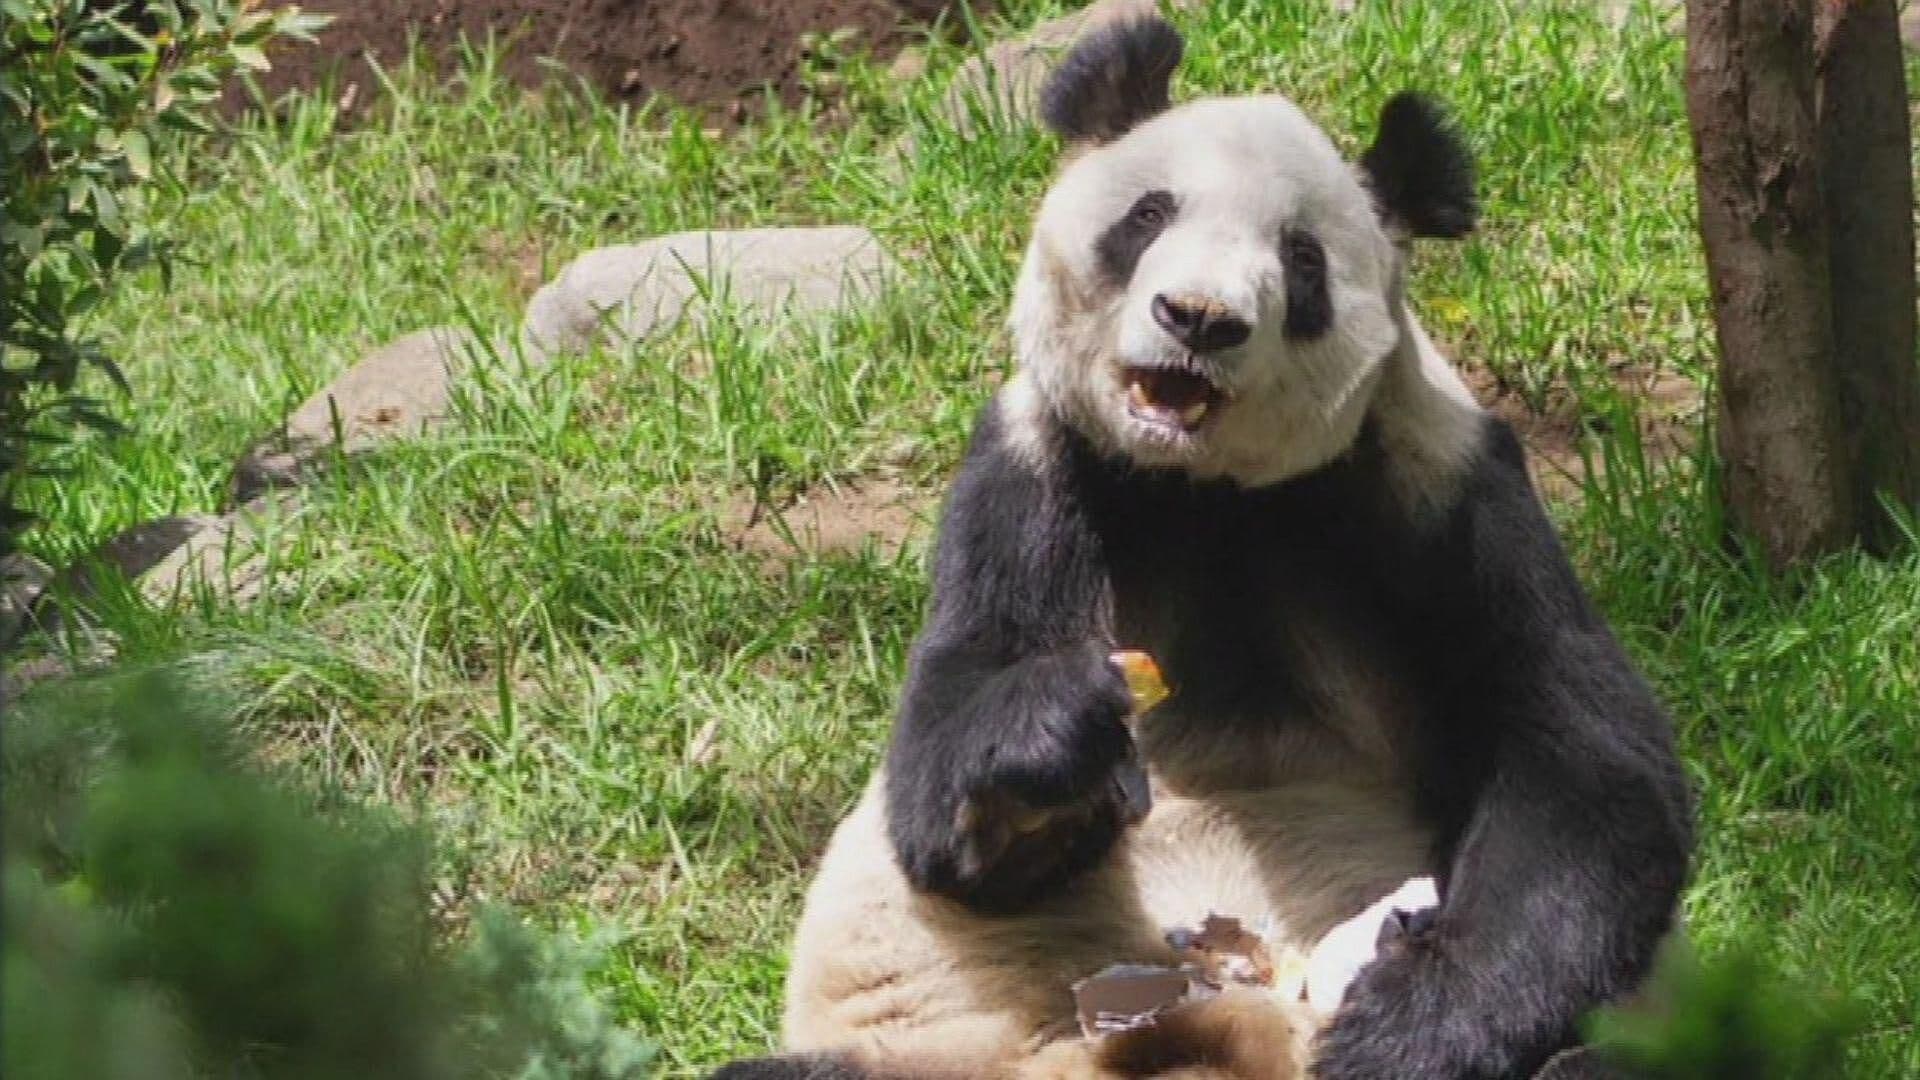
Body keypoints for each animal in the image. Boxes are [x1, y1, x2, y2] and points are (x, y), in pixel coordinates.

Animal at [716, 14, 1690, 1080]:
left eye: (1301, 260)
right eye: (1147, 215)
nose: (1199, 319)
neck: (1206, 490)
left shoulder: (1440, 485)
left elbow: (1580, 763)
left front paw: (1408, 1025)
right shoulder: (1032, 468)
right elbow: (946, 768)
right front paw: (1057, 741)